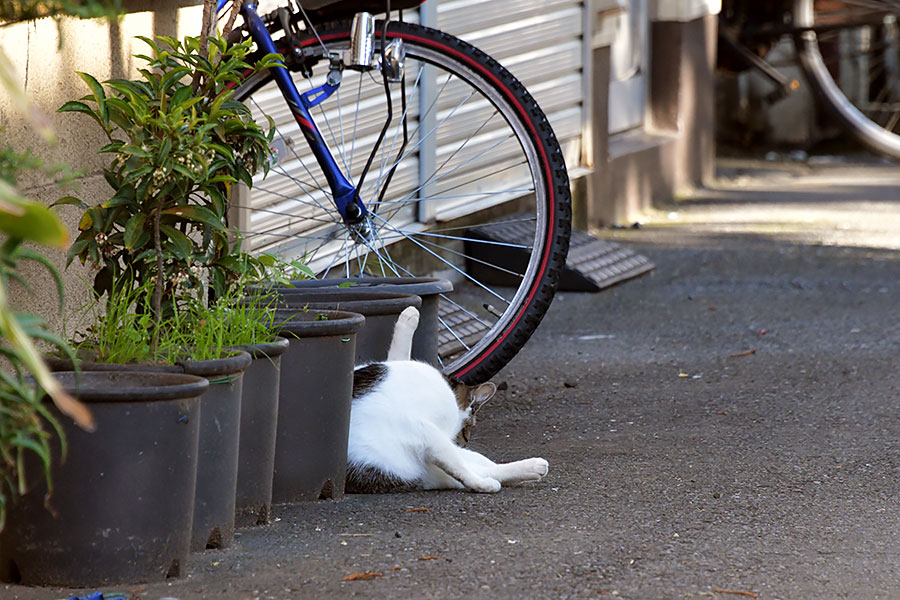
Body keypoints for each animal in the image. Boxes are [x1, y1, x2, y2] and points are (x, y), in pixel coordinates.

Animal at [346, 308, 548, 494]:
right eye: (468, 429)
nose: (465, 441)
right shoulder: (425, 431)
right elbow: (459, 467)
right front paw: (480, 484)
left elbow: (396, 355)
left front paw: (409, 317)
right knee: (474, 468)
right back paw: (509, 475)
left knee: (482, 463)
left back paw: (531, 468)